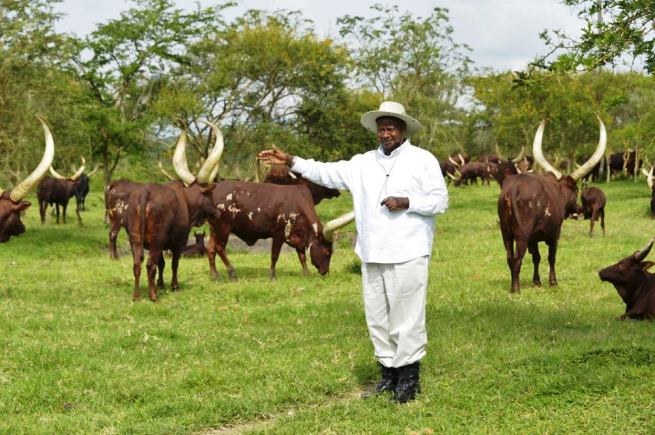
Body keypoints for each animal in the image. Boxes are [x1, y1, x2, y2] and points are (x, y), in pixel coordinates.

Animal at [208, 181, 356, 282]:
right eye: (327, 252)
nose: (325, 272)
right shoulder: (278, 234)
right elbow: (275, 255)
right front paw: (272, 276)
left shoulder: (298, 237)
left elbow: (302, 256)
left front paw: (306, 273)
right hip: (223, 228)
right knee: (219, 248)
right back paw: (232, 273)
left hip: (214, 229)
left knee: (211, 249)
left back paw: (215, 276)